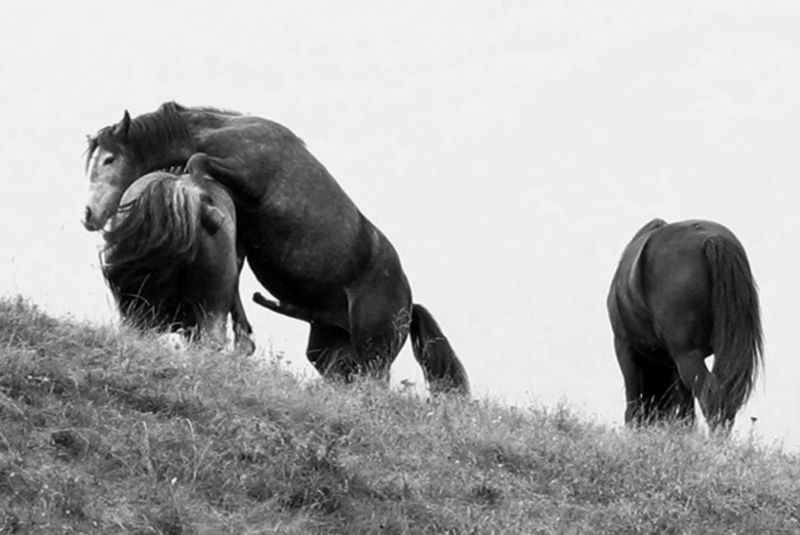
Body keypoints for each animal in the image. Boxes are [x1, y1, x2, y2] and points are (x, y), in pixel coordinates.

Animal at [607, 218, 763, 432]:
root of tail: (711, 239)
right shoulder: (673, 364)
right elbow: (684, 410)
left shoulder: (625, 347)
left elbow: (634, 403)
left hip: (686, 355)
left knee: (710, 394)